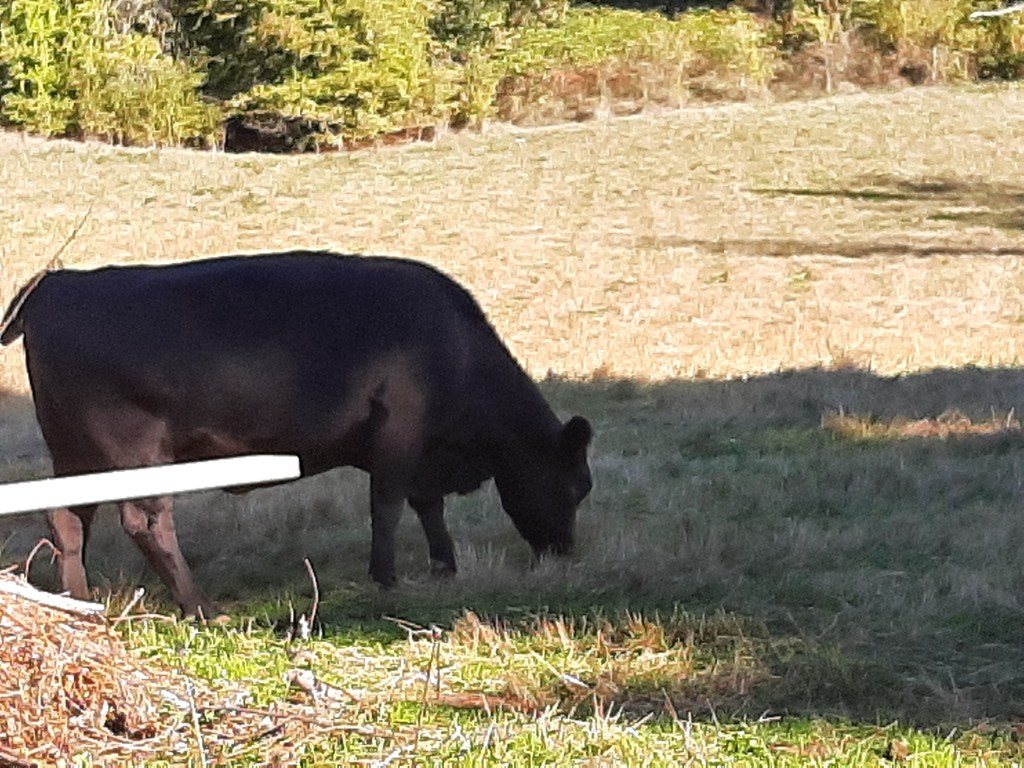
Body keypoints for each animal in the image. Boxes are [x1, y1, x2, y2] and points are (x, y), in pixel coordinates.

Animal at [0, 251, 593, 617]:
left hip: (73, 451)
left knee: (69, 517)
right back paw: (201, 607)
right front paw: (386, 577)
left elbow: (427, 506)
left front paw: (444, 567)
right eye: (575, 487)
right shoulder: (398, 432)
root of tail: (60, 284)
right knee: (146, 521)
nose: (565, 553)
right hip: (135, 450)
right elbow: (388, 505)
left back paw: (84, 602)